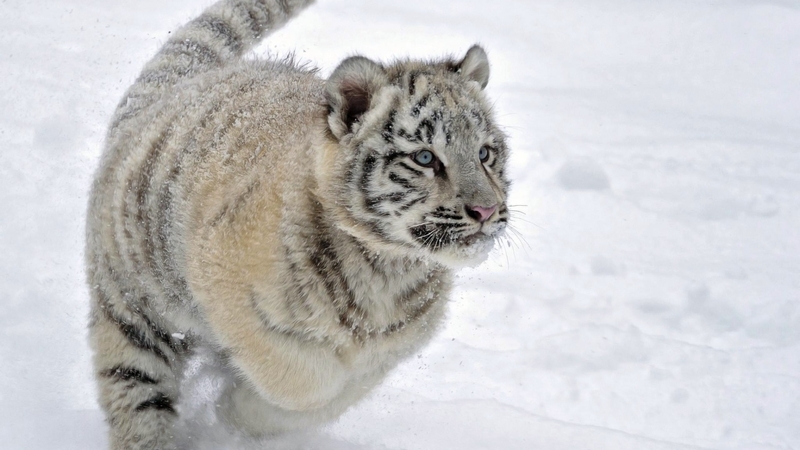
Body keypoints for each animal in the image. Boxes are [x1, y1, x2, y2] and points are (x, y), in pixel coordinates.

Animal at [85, 0, 511, 448]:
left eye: (484, 153)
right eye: (426, 158)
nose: (486, 210)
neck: (386, 270)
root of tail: (177, 87)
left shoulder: (383, 354)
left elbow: (332, 394)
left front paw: (241, 413)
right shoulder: (223, 283)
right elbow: (304, 381)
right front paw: (233, 406)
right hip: (133, 312)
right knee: (138, 399)